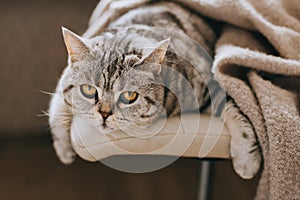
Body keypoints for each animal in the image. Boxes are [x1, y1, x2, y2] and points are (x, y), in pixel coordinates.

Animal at [48, 1, 260, 179]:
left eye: (129, 96)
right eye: (88, 90)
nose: (105, 114)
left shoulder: (211, 85)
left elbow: (235, 113)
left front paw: (246, 159)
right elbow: (58, 106)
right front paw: (63, 148)